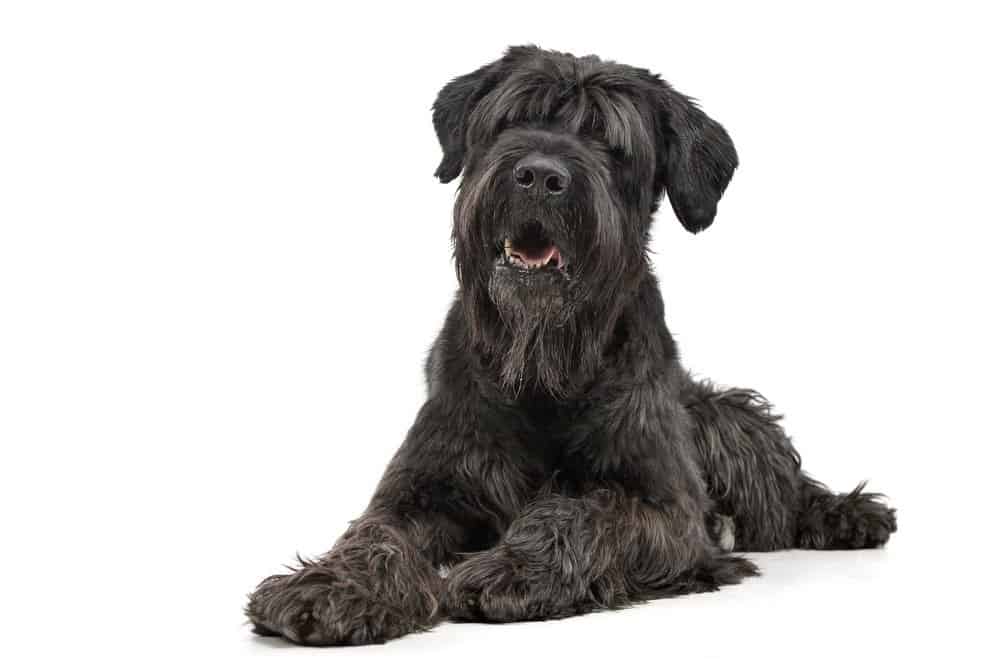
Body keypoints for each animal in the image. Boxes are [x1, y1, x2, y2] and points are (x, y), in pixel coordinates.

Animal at [246, 45, 896, 648]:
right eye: (511, 119)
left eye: (611, 142)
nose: (540, 176)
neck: (542, 369)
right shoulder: (420, 486)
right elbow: (375, 534)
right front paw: (332, 587)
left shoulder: (665, 509)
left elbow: (583, 512)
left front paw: (513, 566)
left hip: (725, 416)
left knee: (784, 491)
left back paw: (848, 513)